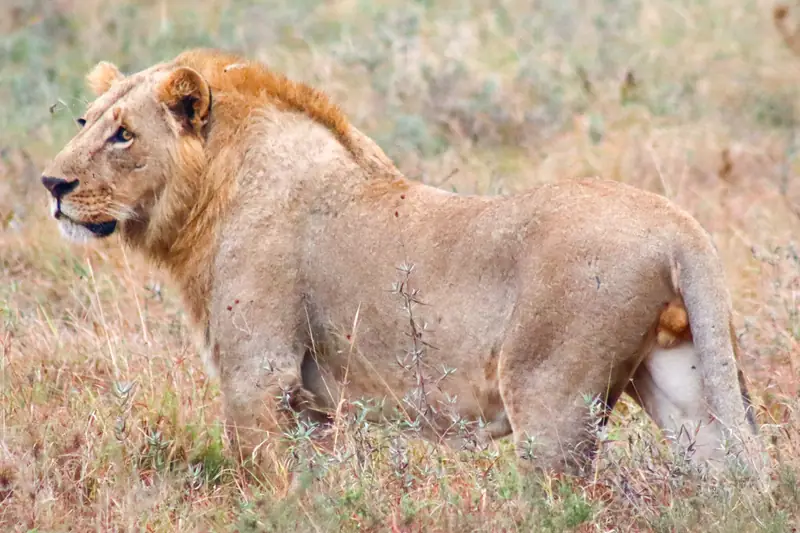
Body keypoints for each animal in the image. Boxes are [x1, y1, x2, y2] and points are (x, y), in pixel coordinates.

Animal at [40, 48, 766, 481]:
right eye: (84, 121)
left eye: (123, 134)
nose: (51, 183)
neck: (213, 193)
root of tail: (681, 225)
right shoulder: (310, 403)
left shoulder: (258, 376)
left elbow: (267, 485)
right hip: (684, 384)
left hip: (550, 399)